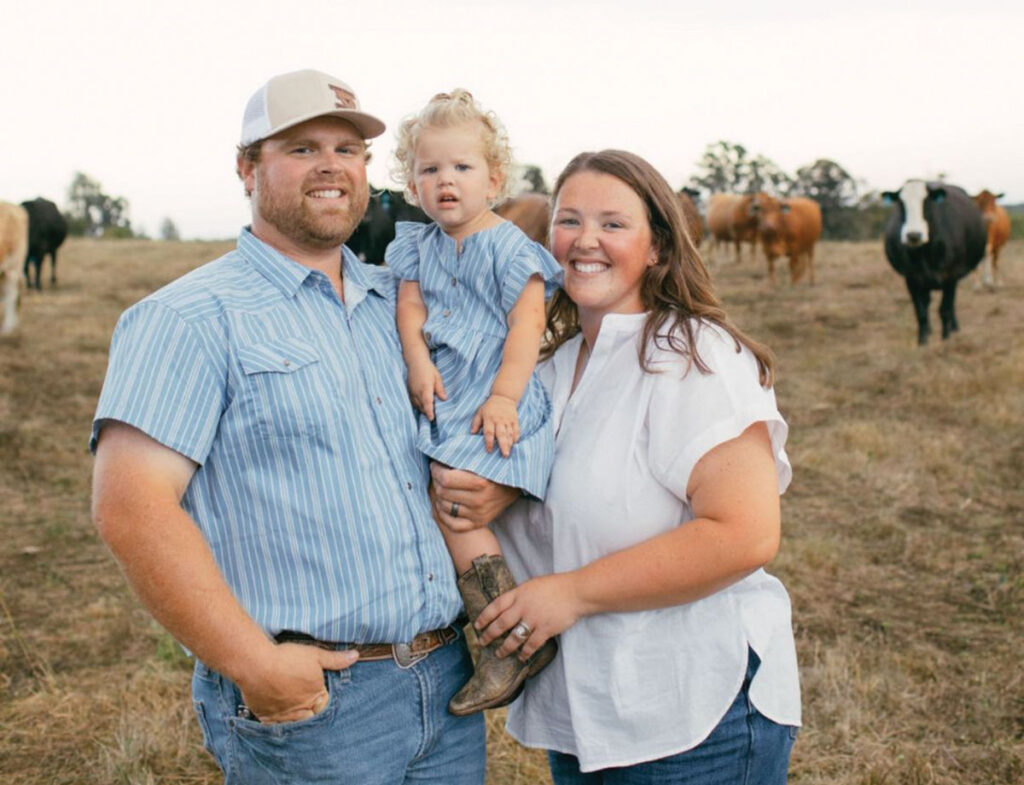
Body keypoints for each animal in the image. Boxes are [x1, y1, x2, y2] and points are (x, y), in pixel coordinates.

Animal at [880, 183, 983, 347]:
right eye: (901, 203)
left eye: (926, 201)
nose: (913, 235)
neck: (926, 253)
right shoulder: (912, 279)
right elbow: (920, 312)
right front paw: (922, 341)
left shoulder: (950, 277)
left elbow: (945, 310)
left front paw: (946, 338)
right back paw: (929, 330)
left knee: (951, 305)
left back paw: (954, 327)